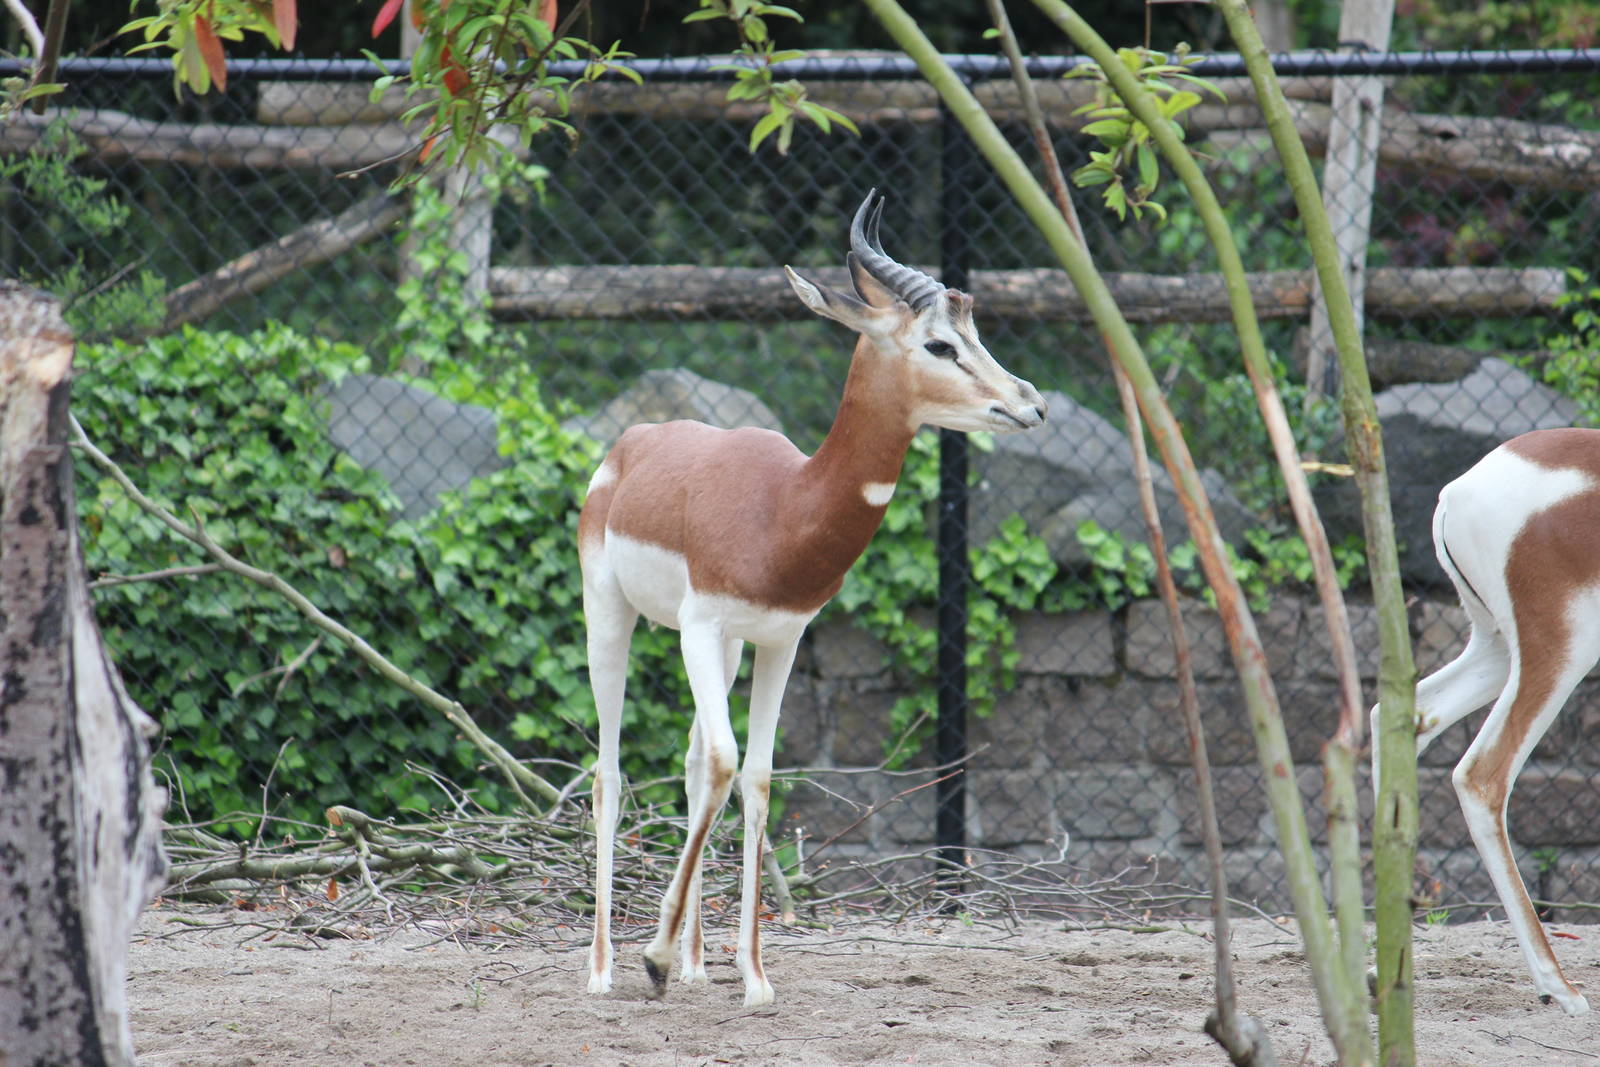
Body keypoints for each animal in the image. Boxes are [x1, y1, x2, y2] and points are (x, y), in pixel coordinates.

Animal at [578, 190, 1046, 1006]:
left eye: (975, 333)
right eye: (939, 345)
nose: (1031, 402)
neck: (782, 505)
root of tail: (629, 446)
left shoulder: (780, 639)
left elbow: (756, 776)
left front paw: (752, 975)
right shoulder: (700, 626)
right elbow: (728, 762)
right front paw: (654, 959)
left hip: (729, 649)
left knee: (696, 761)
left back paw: (694, 965)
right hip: (613, 615)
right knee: (610, 772)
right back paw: (606, 968)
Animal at [1372, 427, 1599, 1015]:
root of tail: (1460, 488)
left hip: (1496, 648)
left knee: (1398, 718)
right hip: (1561, 651)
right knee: (1481, 774)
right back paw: (1558, 986)